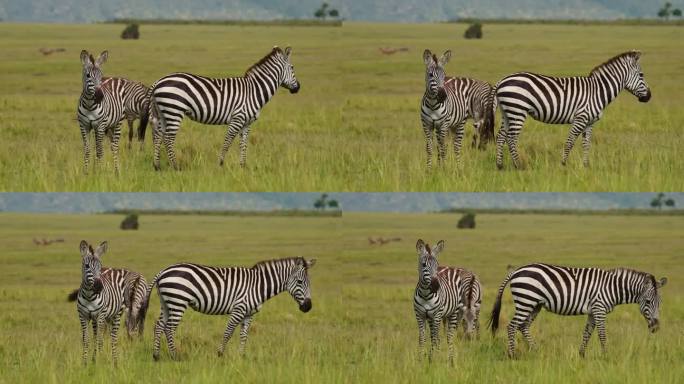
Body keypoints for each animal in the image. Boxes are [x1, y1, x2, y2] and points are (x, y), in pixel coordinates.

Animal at [143, 258, 320, 360]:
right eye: (299, 282)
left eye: (309, 283)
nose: (308, 307)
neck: (258, 286)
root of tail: (163, 271)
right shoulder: (239, 309)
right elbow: (228, 333)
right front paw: (220, 355)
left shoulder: (249, 314)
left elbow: (244, 335)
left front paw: (242, 357)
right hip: (178, 301)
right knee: (170, 328)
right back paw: (175, 356)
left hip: (166, 303)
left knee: (159, 326)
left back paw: (156, 356)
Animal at [150, 45, 300, 170]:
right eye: (292, 67)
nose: (298, 87)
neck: (254, 90)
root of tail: (158, 81)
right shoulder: (237, 118)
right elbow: (228, 142)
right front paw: (220, 164)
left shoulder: (247, 123)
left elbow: (243, 144)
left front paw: (242, 167)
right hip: (174, 111)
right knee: (168, 138)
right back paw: (176, 167)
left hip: (163, 113)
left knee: (158, 136)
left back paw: (157, 166)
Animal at [486, 262, 668, 358]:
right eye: (648, 301)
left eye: (660, 303)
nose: (656, 328)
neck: (612, 288)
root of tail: (516, 270)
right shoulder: (599, 309)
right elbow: (602, 334)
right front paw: (606, 356)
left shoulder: (593, 311)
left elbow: (587, 333)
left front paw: (582, 355)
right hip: (526, 300)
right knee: (512, 326)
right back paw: (512, 355)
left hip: (534, 304)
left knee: (523, 326)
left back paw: (536, 351)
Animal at [494, 50, 648, 170]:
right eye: (641, 75)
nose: (649, 97)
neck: (597, 91)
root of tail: (502, 80)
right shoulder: (581, 118)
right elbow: (570, 142)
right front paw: (563, 164)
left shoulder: (589, 122)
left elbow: (586, 144)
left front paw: (586, 166)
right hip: (517, 110)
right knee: (511, 138)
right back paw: (519, 166)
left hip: (507, 112)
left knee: (501, 136)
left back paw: (500, 166)